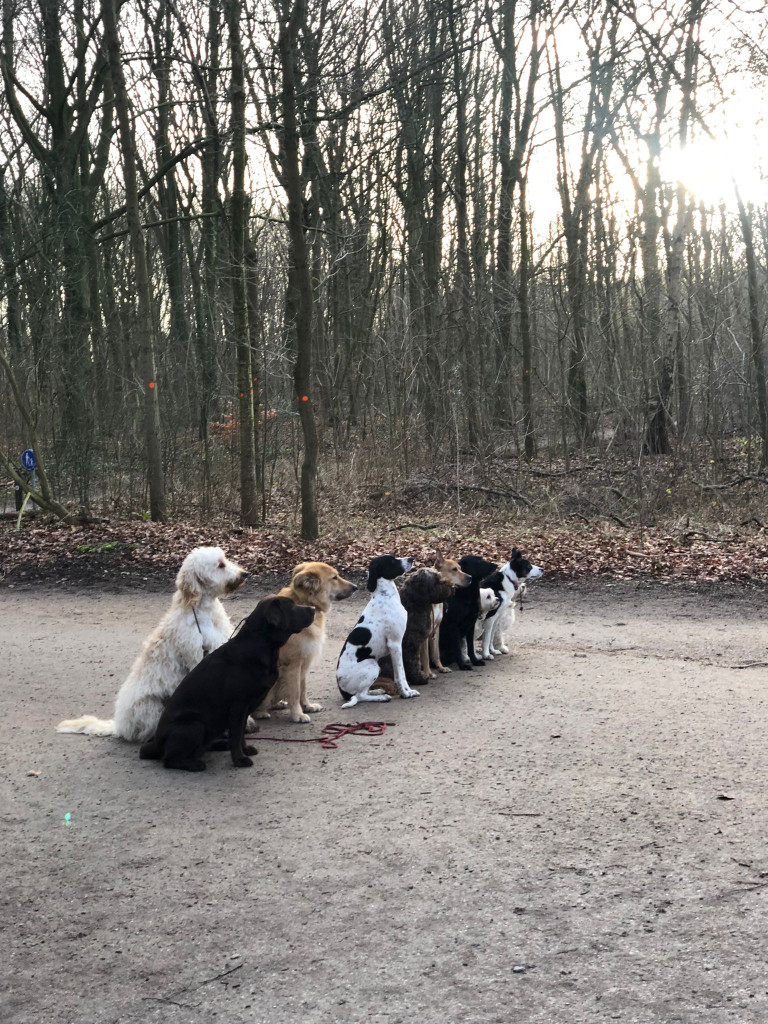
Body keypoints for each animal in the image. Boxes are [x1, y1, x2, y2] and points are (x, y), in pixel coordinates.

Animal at [57, 548, 249, 741]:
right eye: (220, 565)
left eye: (225, 559)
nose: (245, 573)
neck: (203, 611)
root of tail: (120, 726)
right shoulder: (198, 658)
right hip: (153, 707)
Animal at [140, 598, 313, 770]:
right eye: (291, 606)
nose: (313, 608)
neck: (260, 646)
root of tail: (155, 744)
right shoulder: (238, 707)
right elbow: (236, 735)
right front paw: (239, 760)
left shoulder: (245, 709)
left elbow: (241, 733)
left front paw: (245, 750)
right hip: (195, 725)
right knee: (169, 759)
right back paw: (194, 764)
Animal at [256, 565, 358, 724]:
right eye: (334, 577)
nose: (356, 587)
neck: (306, 602)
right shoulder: (293, 664)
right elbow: (295, 691)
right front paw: (298, 714)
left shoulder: (305, 661)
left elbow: (303, 688)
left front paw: (307, 706)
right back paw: (260, 713)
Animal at [337, 557, 421, 708]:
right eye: (392, 561)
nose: (411, 558)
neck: (385, 597)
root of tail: (342, 689)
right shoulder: (395, 644)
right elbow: (401, 675)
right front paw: (407, 693)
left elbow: (398, 674)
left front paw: (405, 691)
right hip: (372, 664)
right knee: (360, 696)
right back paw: (381, 698)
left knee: (362, 693)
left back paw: (377, 691)